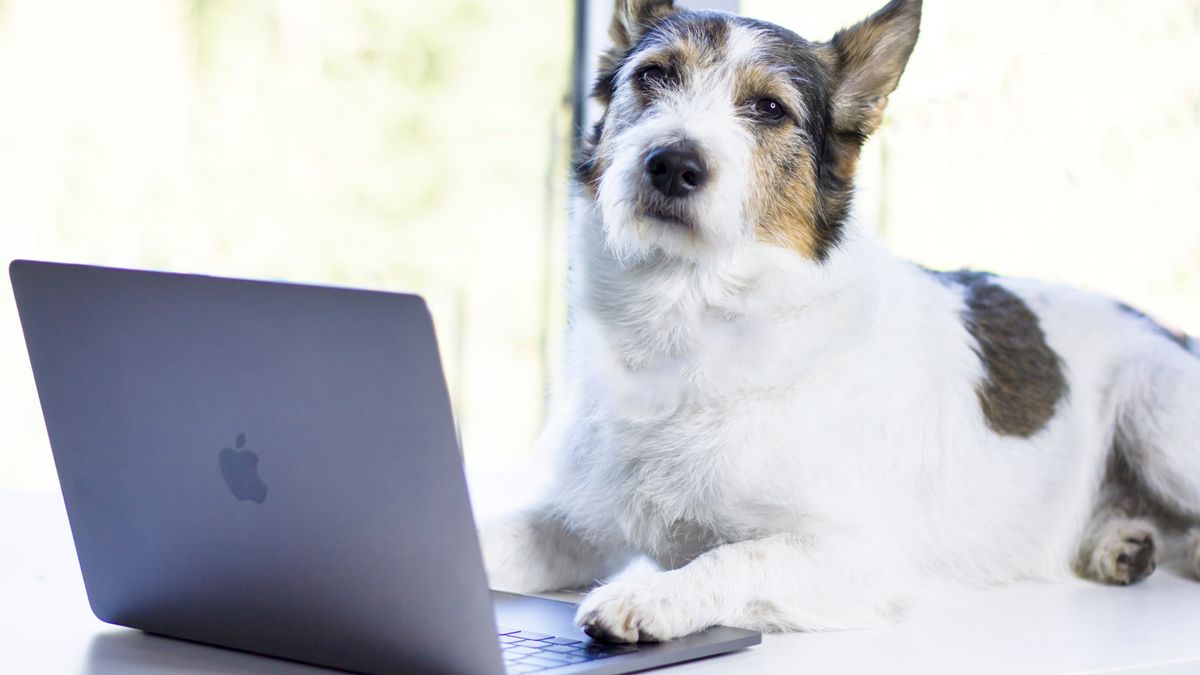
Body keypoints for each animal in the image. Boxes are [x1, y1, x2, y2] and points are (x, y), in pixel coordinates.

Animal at [477, 0, 1200, 638]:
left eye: (769, 107)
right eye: (652, 75)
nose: (672, 163)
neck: (689, 315)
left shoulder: (865, 559)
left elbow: (736, 555)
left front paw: (652, 595)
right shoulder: (582, 521)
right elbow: (496, 532)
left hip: (1156, 412)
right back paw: (1121, 544)